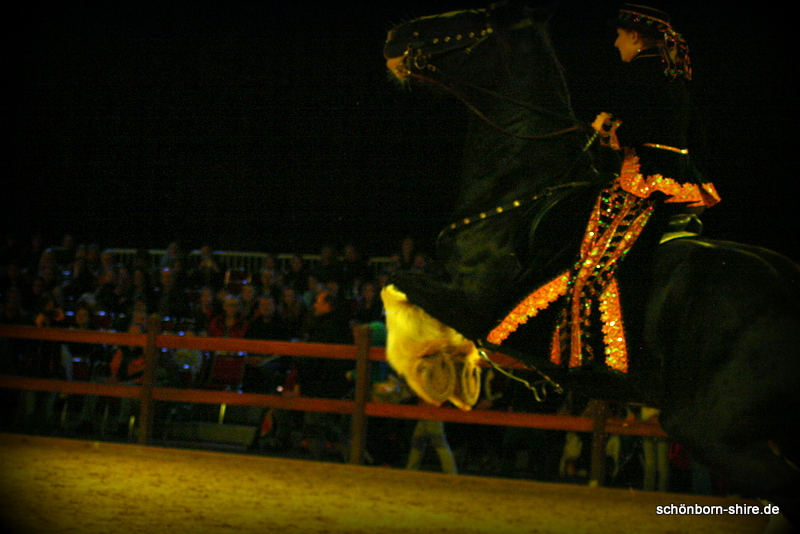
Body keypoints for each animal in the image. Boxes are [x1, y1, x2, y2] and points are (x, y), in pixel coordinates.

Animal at [380, 1, 800, 528]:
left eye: (476, 15)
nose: (396, 36)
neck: (524, 189)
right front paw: (455, 369)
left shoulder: (472, 300)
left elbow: (394, 285)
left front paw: (435, 372)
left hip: (707, 429)